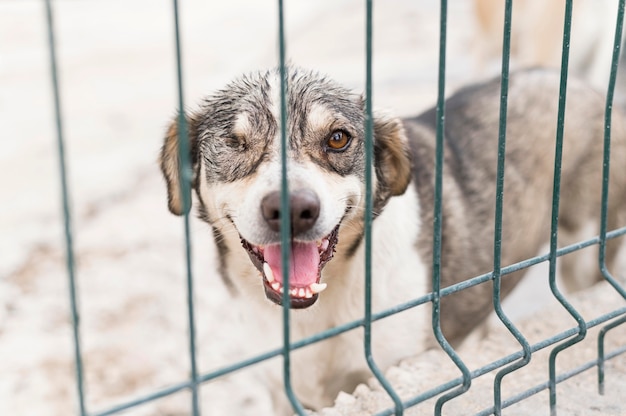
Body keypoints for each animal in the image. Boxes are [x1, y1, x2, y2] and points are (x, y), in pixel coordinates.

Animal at [160, 68, 624, 412]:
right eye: (233, 142)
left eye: (338, 138)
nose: (292, 210)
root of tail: (579, 82)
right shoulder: (284, 392)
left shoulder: (398, 376)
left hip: (586, 253)